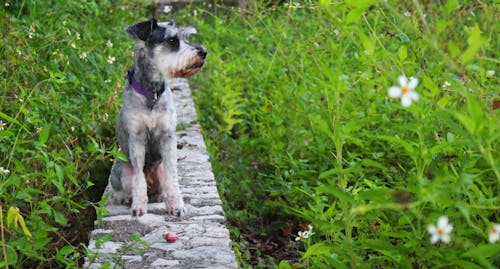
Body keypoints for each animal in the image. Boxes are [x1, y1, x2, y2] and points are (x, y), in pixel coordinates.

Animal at [107, 18, 207, 216]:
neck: (151, 92)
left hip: (158, 168)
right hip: (122, 168)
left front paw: (176, 205)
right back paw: (126, 198)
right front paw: (138, 206)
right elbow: (138, 178)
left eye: (186, 37)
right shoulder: (137, 138)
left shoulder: (167, 136)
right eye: (172, 40)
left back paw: (160, 196)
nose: (203, 52)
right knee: (124, 187)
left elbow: (172, 176)